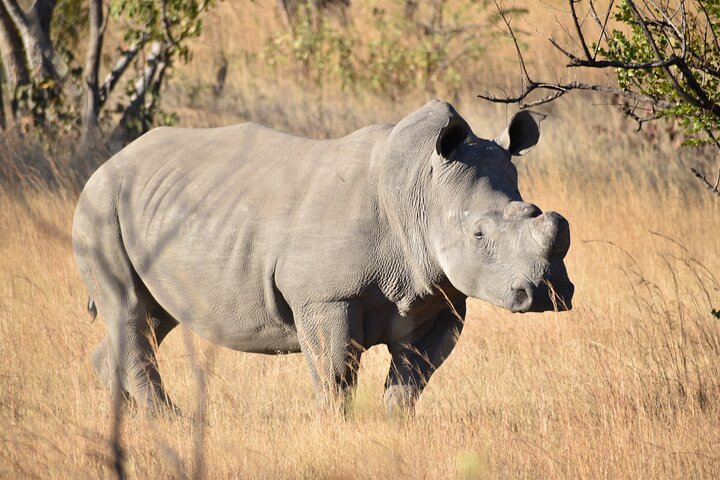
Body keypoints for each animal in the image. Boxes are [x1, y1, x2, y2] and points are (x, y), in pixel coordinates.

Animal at [73, 100, 573, 414]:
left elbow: (411, 381)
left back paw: (129, 419)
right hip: (100, 206)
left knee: (152, 316)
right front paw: (336, 429)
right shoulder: (325, 298)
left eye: (540, 214)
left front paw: (395, 429)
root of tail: (105, 165)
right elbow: (334, 378)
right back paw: (167, 422)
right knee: (129, 308)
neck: (421, 192)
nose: (546, 292)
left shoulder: (440, 297)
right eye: (478, 233)